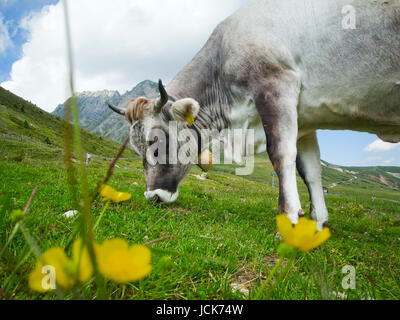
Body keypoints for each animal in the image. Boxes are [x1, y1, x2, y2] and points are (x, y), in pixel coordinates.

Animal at [107, 0, 400, 230]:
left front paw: (289, 220)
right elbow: (311, 170)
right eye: (135, 150)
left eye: (157, 145)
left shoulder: (277, 86)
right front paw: (318, 223)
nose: (153, 197)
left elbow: (280, 154)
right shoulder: (305, 120)